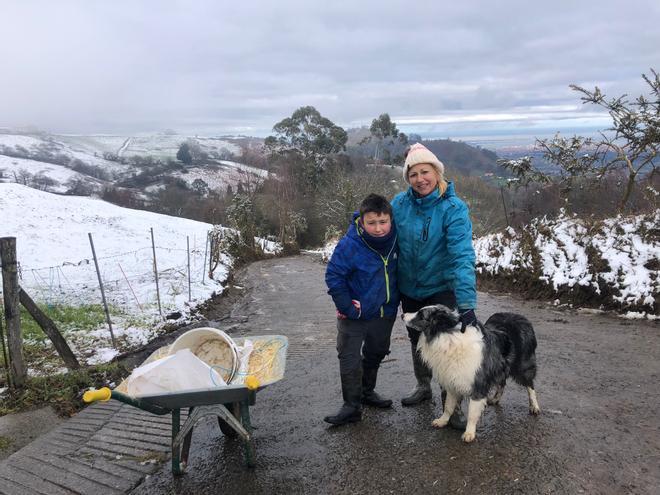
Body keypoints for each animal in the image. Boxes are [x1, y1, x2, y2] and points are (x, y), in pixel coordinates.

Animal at [402, 304, 540, 444]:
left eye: (421, 315)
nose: (402, 315)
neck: (446, 338)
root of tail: (520, 317)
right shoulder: (452, 380)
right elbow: (448, 405)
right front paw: (443, 420)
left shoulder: (478, 384)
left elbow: (472, 413)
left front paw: (469, 433)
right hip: (501, 367)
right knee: (502, 382)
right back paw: (495, 399)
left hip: (522, 366)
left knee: (530, 385)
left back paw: (534, 406)